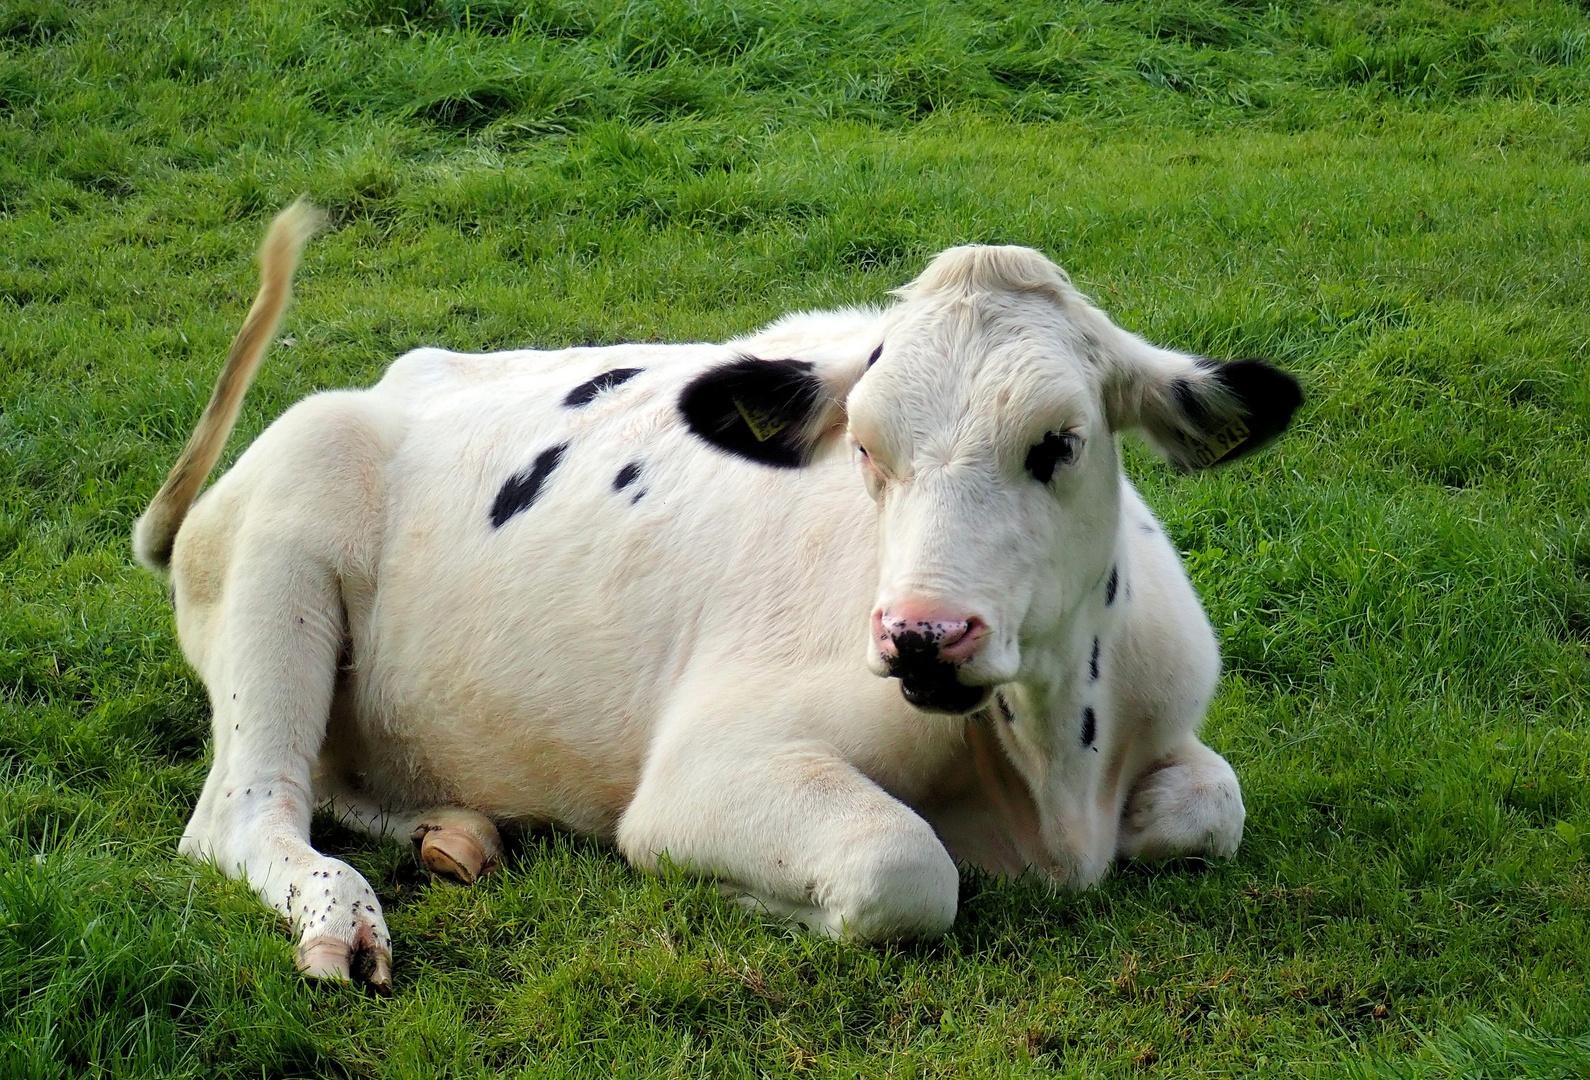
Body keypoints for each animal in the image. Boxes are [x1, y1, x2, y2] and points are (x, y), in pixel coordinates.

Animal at [133, 200, 1303, 986]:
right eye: (866, 449)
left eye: (1058, 443)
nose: (922, 635)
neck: (1055, 781)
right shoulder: (705, 772)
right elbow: (903, 869)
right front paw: (758, 899)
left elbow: (1214, 804)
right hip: (285, 555)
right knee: (246, 809)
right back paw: (345, 918)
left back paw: (455, 833)